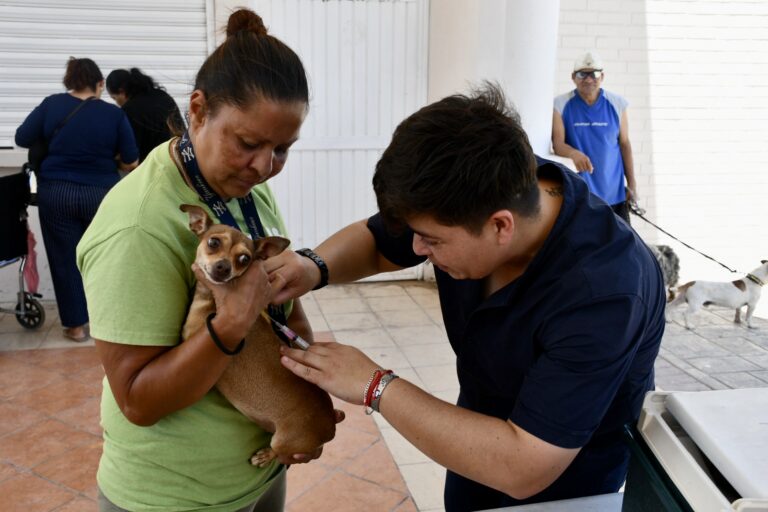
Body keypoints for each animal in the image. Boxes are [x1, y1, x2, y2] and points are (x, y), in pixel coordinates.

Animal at [182, 205, 338, 468]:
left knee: (278, 450)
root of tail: (332, 425)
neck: (214, 300)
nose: (223, 267)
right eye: (213, 242)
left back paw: (265, 455)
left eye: (244, 259)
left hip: (283, 441)